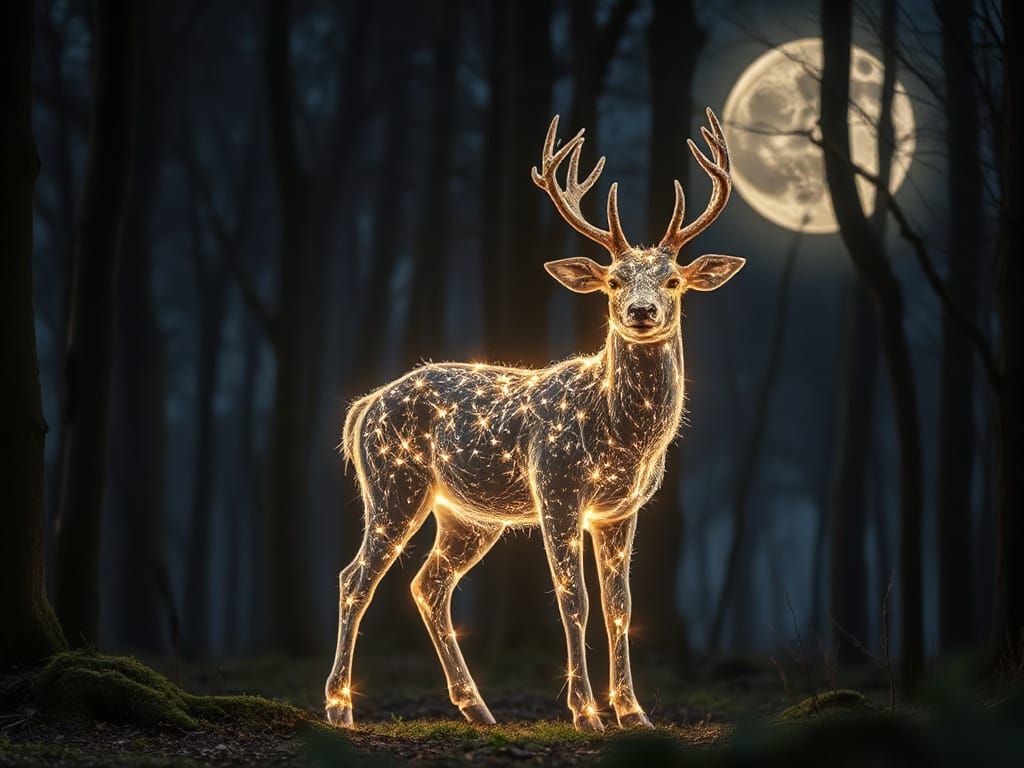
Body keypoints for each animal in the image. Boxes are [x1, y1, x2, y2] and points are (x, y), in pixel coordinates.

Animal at [325, 108, 744, 731]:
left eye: (673, 279)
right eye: (614, 279)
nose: (641, 312)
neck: (625, 438)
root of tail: (363, 406)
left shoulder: (621, 509)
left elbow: (620, 606)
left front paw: (634, 713)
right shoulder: (559, 488)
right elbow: (574, 600)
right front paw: (586, 713)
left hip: (469, 516)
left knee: (429, 584)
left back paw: (476, 706)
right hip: (395, 482)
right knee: (356, 578)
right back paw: (339, 706)